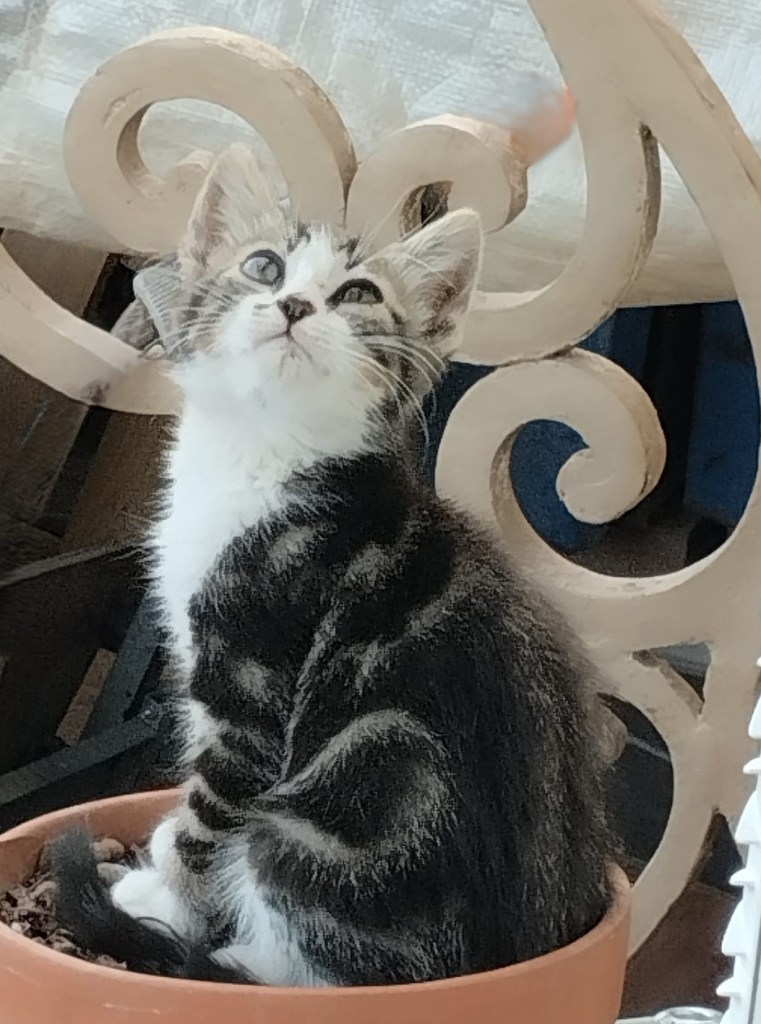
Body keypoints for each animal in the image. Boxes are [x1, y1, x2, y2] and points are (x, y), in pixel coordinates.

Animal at [53, 143, 614, 987]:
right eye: (263, 265)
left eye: (357, 293)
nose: (293, 306)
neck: (266, 453)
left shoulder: (251, 681)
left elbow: (209, 809)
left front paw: (163, 894)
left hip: (328, 816)